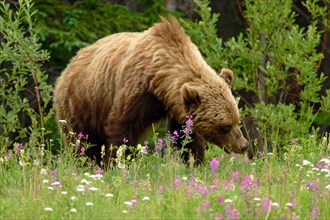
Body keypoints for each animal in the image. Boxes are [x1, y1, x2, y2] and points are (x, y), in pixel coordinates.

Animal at [54, 16, 249, 165]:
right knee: (83, 142)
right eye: (225, 126)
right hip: (82, 104)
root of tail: (67, 68)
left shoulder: (177, 105)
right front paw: (120, 162)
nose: (243, 145)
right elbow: (122, 129)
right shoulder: (136, 91)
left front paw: (196, 163)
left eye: (237, 120)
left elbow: (186, 136)